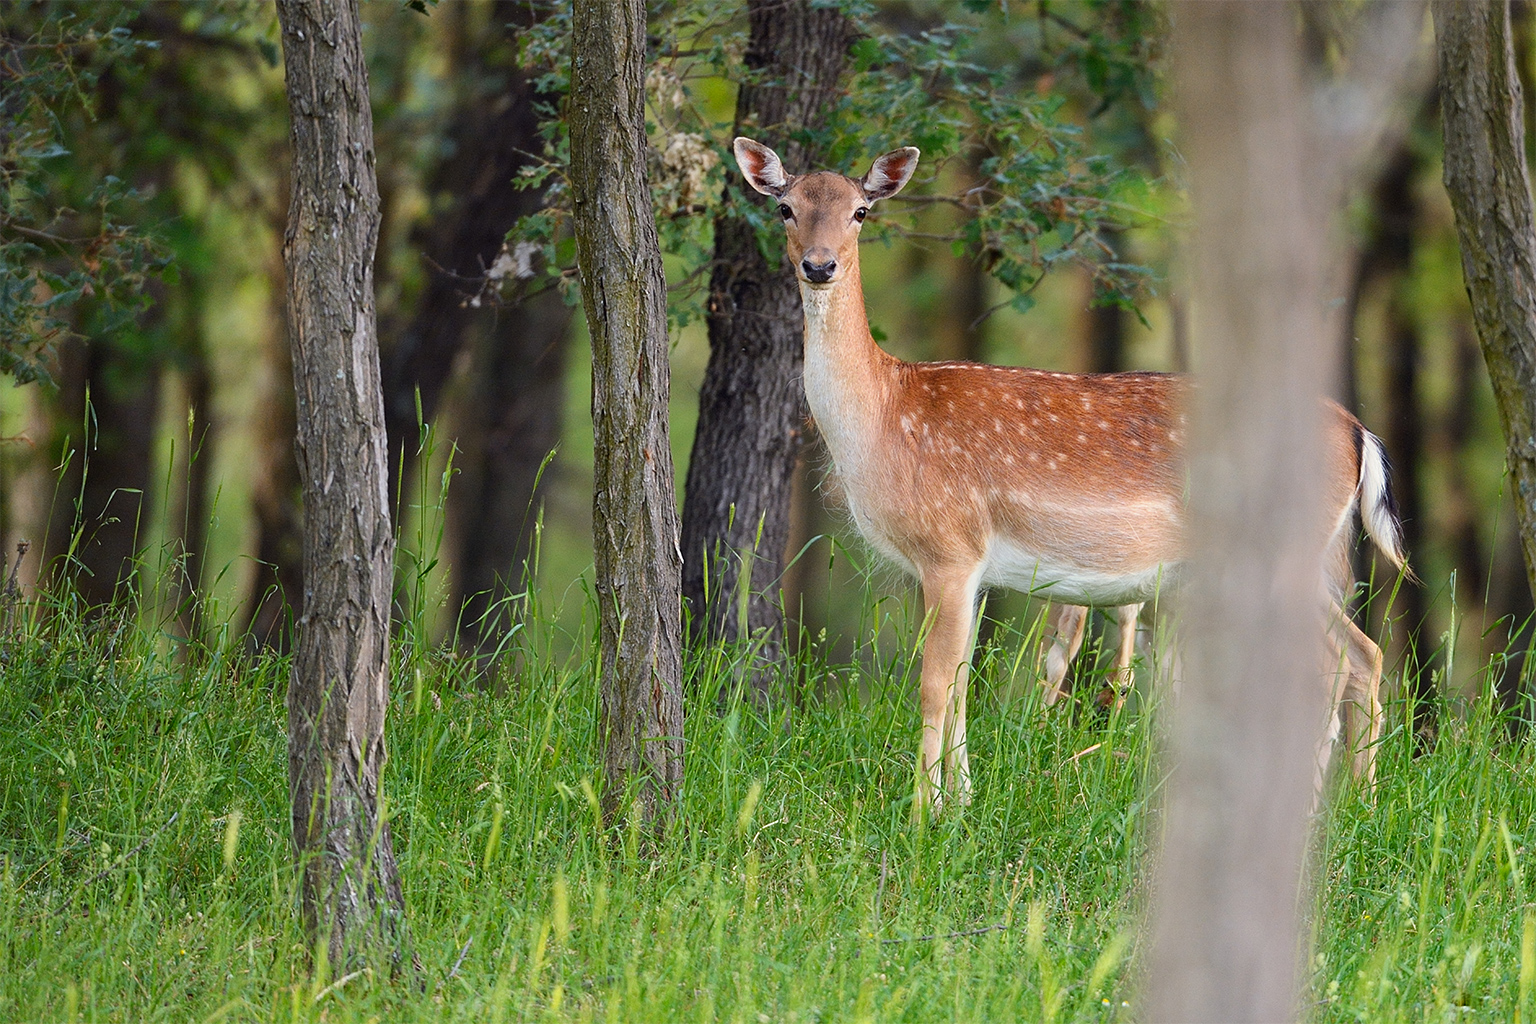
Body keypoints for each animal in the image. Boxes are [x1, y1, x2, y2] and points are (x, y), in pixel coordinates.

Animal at [737, 135, 1406, 810]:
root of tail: (1359, 431)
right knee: (1366, 655)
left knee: (1329, 663)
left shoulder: (949, 547)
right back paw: (1362, 798)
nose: (819, 266)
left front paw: (924, 811)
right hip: (1318, 560)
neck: (883, 420)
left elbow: (933, 683)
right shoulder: (973, 568)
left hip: (1286, 553)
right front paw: (963, 801)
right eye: (786, 208)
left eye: (860, 212)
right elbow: (960, 683)